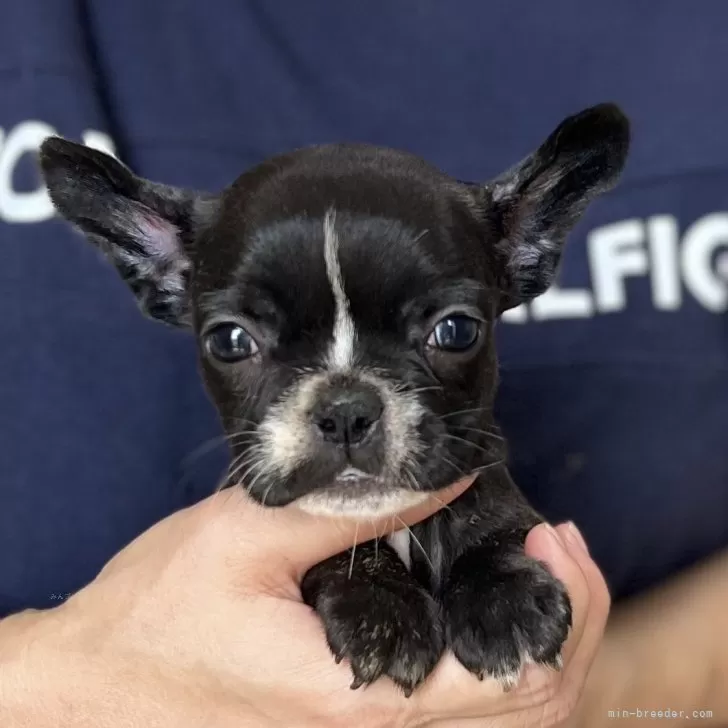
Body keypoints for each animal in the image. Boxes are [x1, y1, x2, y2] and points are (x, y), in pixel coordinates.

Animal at [39, 104, 628, 700]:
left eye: (457, 331)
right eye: (229, 341)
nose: (345, 408)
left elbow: (493, 515)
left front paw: (501, 596)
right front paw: (379, 606)